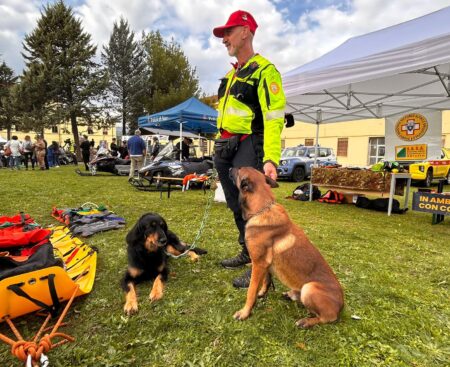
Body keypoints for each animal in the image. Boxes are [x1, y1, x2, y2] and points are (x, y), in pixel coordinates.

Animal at [230, 168, 342, 330]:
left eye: (238, 169)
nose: (229, 168)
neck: (262, 209)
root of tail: (342, 306)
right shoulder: (265, 265)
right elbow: (266, 281)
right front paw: (262, 293)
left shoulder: (258, 264)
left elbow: (251, 291)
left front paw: (245, 312)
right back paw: (291, 295)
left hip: (309, 288)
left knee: (327, 318)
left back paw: (306, 321)